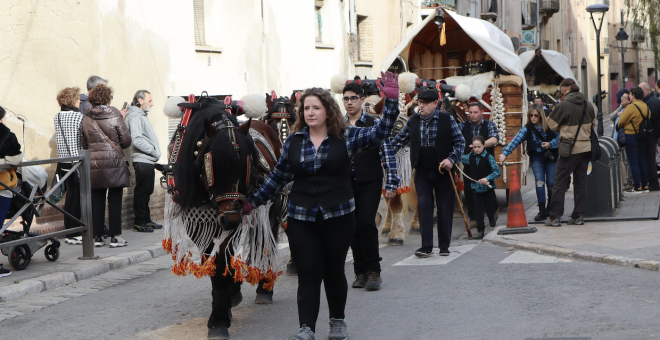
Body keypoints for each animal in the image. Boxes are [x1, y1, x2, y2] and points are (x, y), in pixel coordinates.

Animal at [162, 91, 284, 338]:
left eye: (246, 166)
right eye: (212, 167)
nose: (229, 218)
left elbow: (222, 263)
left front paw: (219, 318)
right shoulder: (199, 224)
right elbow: (213, 262)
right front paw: (223, 305)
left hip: (270, 210)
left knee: (266, 243)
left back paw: (264, 286)